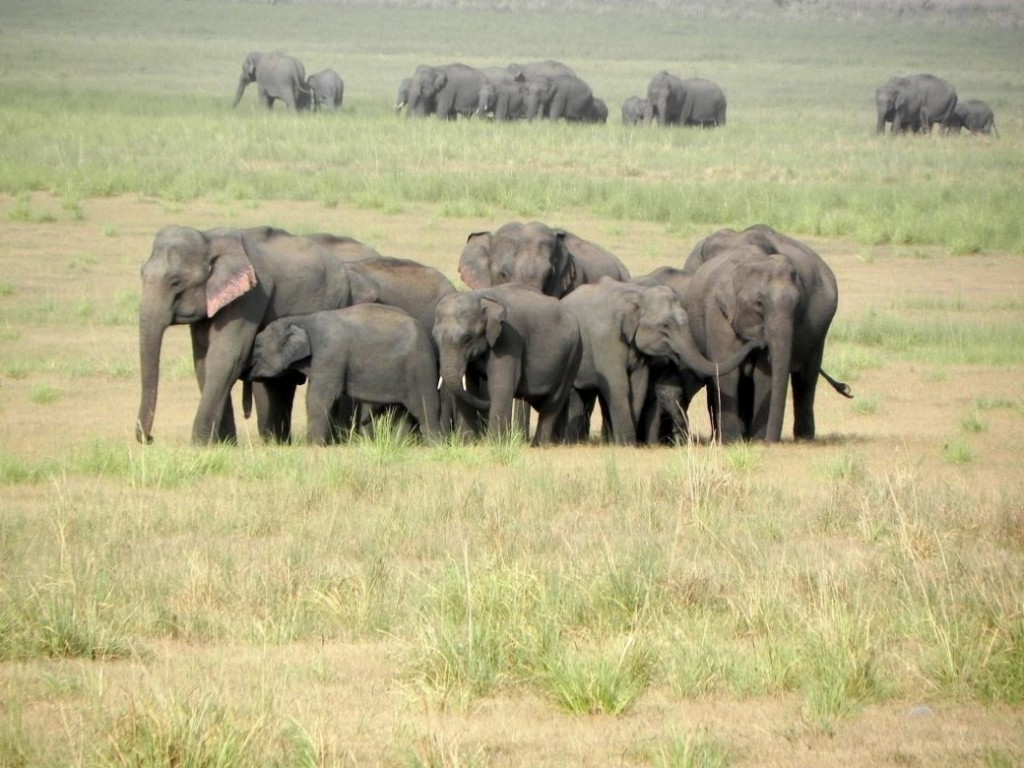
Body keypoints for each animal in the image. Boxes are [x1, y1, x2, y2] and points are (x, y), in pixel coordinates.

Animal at [136, 226, 379, 445]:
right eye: (141, 274)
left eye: (176, 282)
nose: (149, 438)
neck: (209, 240)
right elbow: (203, 362)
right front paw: (225, 444)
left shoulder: (249, 298)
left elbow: (226, 358)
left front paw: (200, 444)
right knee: (277, 383)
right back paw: (277, 442)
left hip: (336, 303)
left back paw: (333, 441)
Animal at [249, 305, 442, 445]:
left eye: (257, 346)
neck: (302, 318)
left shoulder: (330, 354)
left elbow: (319, 397)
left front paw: (312, 446)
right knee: (402, 413)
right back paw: (400, 444)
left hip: (420, 368)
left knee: (425, 408)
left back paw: (434, 445)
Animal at [432, 284, 583, 444]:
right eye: (435, 337)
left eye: (467, 338)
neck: (481, 298)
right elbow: (470, 385)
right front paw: (469, 443)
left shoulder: (508, 338)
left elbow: (501, 386)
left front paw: (495, 443)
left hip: (573, 356)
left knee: (554, 401)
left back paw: (540, 444)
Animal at [561, 279, 762, 445]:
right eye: (665, 326)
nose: (757, 342)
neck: (638, 295)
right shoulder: (606, 339)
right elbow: (619, 385)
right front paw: (626, 444)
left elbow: (639, 387)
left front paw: (630, 442)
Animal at [683, 226, 846, 443]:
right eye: (759, 303)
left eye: (798, 305)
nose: (771, 440)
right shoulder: (716, 311)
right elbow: (726, 371)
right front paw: (730, 441)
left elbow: (764, 375)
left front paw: (758, 440)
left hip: (820, 332)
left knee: (806, 379)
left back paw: (803, 438)